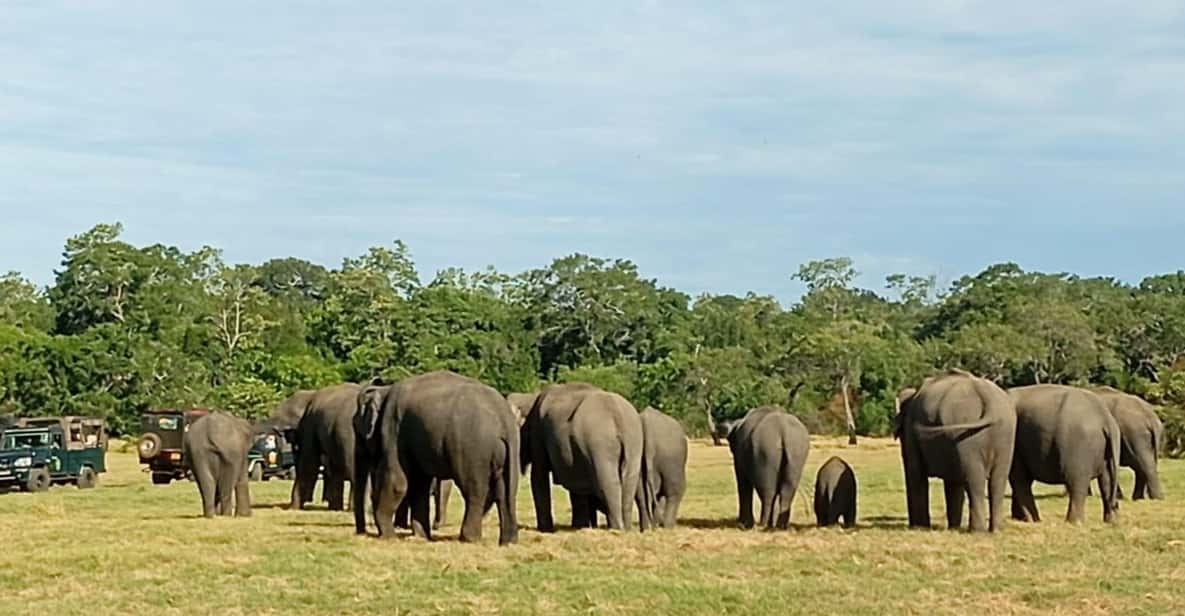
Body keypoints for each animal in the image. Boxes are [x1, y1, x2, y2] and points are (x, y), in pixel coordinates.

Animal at [350, 369, 519, 544]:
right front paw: (421, 536)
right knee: (506, 491)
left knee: (474, 491)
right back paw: (508, 542)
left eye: (355, 427)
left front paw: (388, 537)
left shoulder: (392, 429)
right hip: (510, 451)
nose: (361, 532)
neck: (385, 390)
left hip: (472, 451)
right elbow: (419, 485)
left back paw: (468, 538)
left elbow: (398, 483)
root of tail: (504, 420)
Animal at [523, 381, 644, 530]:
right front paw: (581, 526)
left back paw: (616, 528)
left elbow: (539, 475)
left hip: (598, 443)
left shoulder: (538, 431)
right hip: (634, 443)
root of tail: (617, 416)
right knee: (627, 485)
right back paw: (625, 529)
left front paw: (545, 530)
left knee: (608, 484)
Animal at [895, 369, 1019, 533]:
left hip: (968, 437)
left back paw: (977, 531)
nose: (911, 525)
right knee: (998, 480)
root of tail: (988, 399)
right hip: (1004, 434)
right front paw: (953, 528)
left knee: (974, 482)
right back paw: (996, 530)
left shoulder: (911, 432)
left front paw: (920, 528)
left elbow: (916, 473)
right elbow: (953, 482)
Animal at [1009, 383, 1118, 523]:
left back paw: (1074, 522)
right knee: (1106, 480)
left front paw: (1032, 520)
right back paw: (1111, 521)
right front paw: (1020, 519)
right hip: (1107, 449)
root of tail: (1105, 419)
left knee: (1077, 483)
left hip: (1079, 446)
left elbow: (1019, 478)